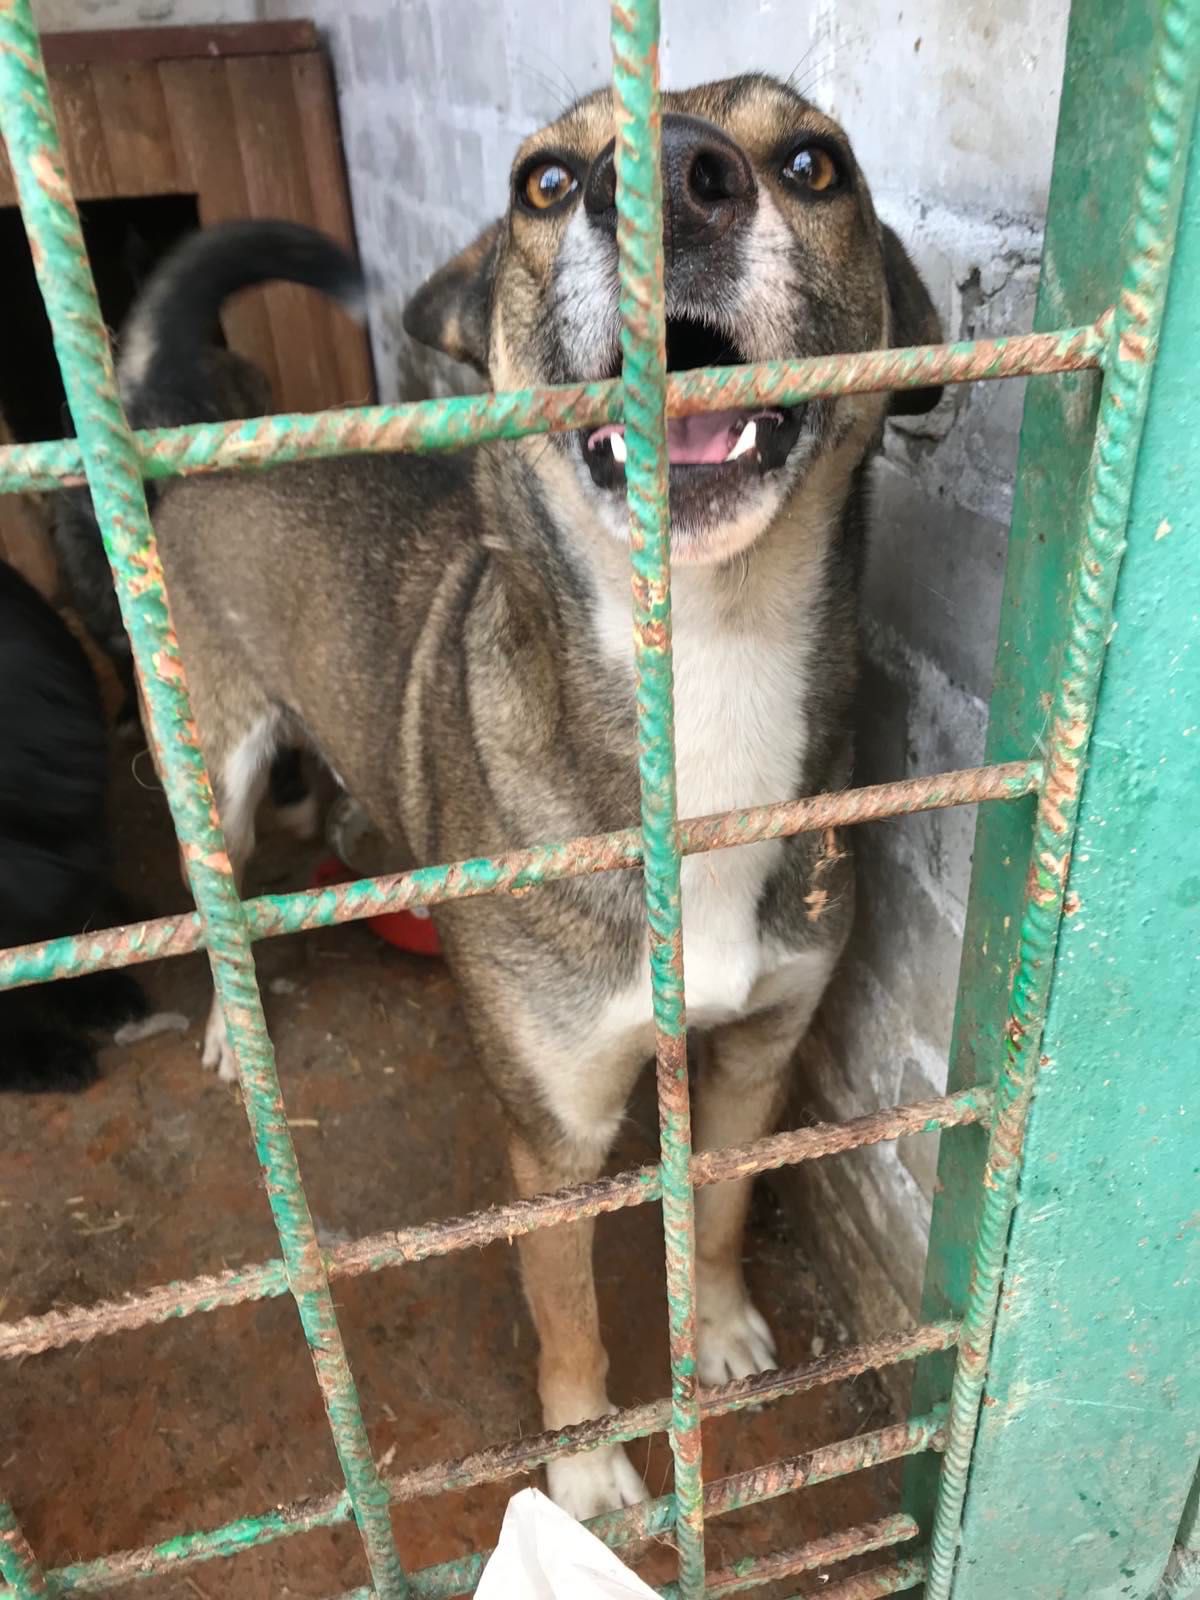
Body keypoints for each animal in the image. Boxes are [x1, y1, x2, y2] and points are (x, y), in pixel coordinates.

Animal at [117, 78, 947, 1523]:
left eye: (813, 163)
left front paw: (717, 1325)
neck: (709, 679)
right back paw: (233, 1026)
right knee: (216, 894)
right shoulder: (550, 1139)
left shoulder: (759, 1051)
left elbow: (720, 1211)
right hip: (216, 772)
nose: (672, 179)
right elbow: (568, 1320)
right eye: (546, 184)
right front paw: (590, 1471)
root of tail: (213, 447)